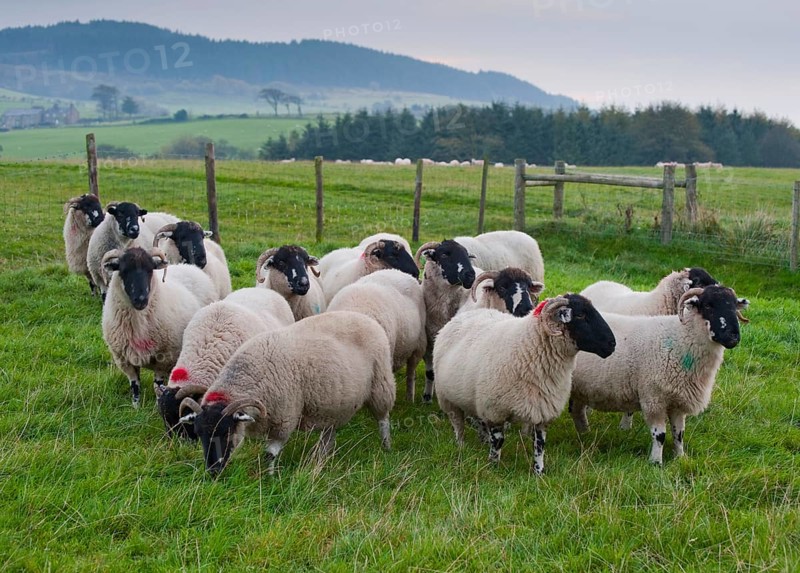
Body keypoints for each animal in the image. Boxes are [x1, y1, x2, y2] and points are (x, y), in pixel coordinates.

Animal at [101, 246, 217, 407]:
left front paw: (158, 405)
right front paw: (136, 407)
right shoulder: (124, 360)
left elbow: (158, 385)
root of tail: (189, 266)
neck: (137, 326)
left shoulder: (164, 357)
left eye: (150, 270)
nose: (141, 299)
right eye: (123, 270)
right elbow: (135, 385)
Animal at [177, 310, 396, 476]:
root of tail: (365, 317)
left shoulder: (284, 418)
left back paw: (386, 446)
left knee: (383, 418)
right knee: (329, 431)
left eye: (226, 432)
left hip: (381, 382)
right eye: (198, 433)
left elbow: (270, 454)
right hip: (332, 401)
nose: (213, 472)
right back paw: (321, 457)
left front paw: (270, 478)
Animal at [433, 294, 616, 474]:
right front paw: (493, 467)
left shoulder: (542, 410)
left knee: (478, 421)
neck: (528, 346)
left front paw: (539, 472)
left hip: (473, 399)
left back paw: (482, 439)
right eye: (580, 315)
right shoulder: (495, 411)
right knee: (458, 424)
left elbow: (540, 445)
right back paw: (461, 445)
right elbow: (498, 442)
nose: (612, 344)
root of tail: (462, 316)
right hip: (448, 399)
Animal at [569, 286, 748, 465]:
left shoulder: (677, 402)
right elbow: (660, 435)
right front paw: (656, 462)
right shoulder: (654, 399)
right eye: (708, 306)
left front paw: (680, 458)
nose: (733, 336)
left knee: (577, 410)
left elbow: (679, 434)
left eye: (734, 307)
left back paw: (584, 434)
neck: (680, 339)